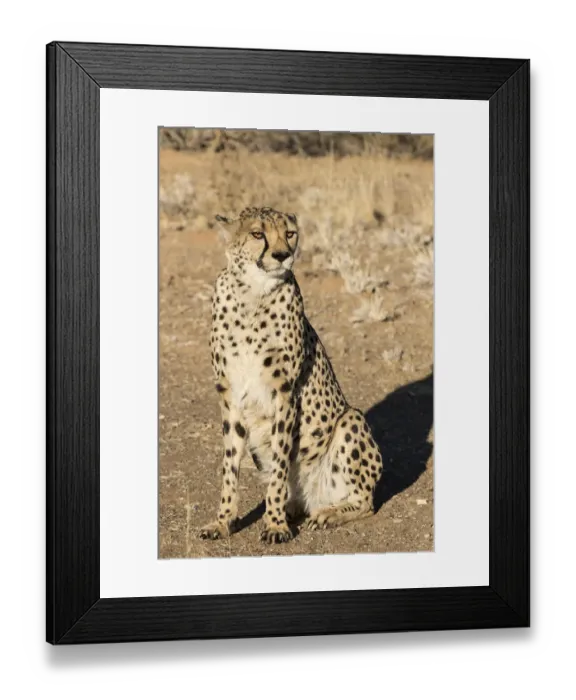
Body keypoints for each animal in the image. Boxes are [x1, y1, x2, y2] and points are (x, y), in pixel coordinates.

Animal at [199, 206, 384, 544]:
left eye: (290, 233)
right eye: (257, 234)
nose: (283, 255)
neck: (253, 293)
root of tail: (310, 498)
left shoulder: (284, 393)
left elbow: (280, 463)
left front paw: (274, 524)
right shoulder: (230, 394)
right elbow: (230, 466)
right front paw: (223, 521)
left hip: (351, 419)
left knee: (366, 502)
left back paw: (327, 513)